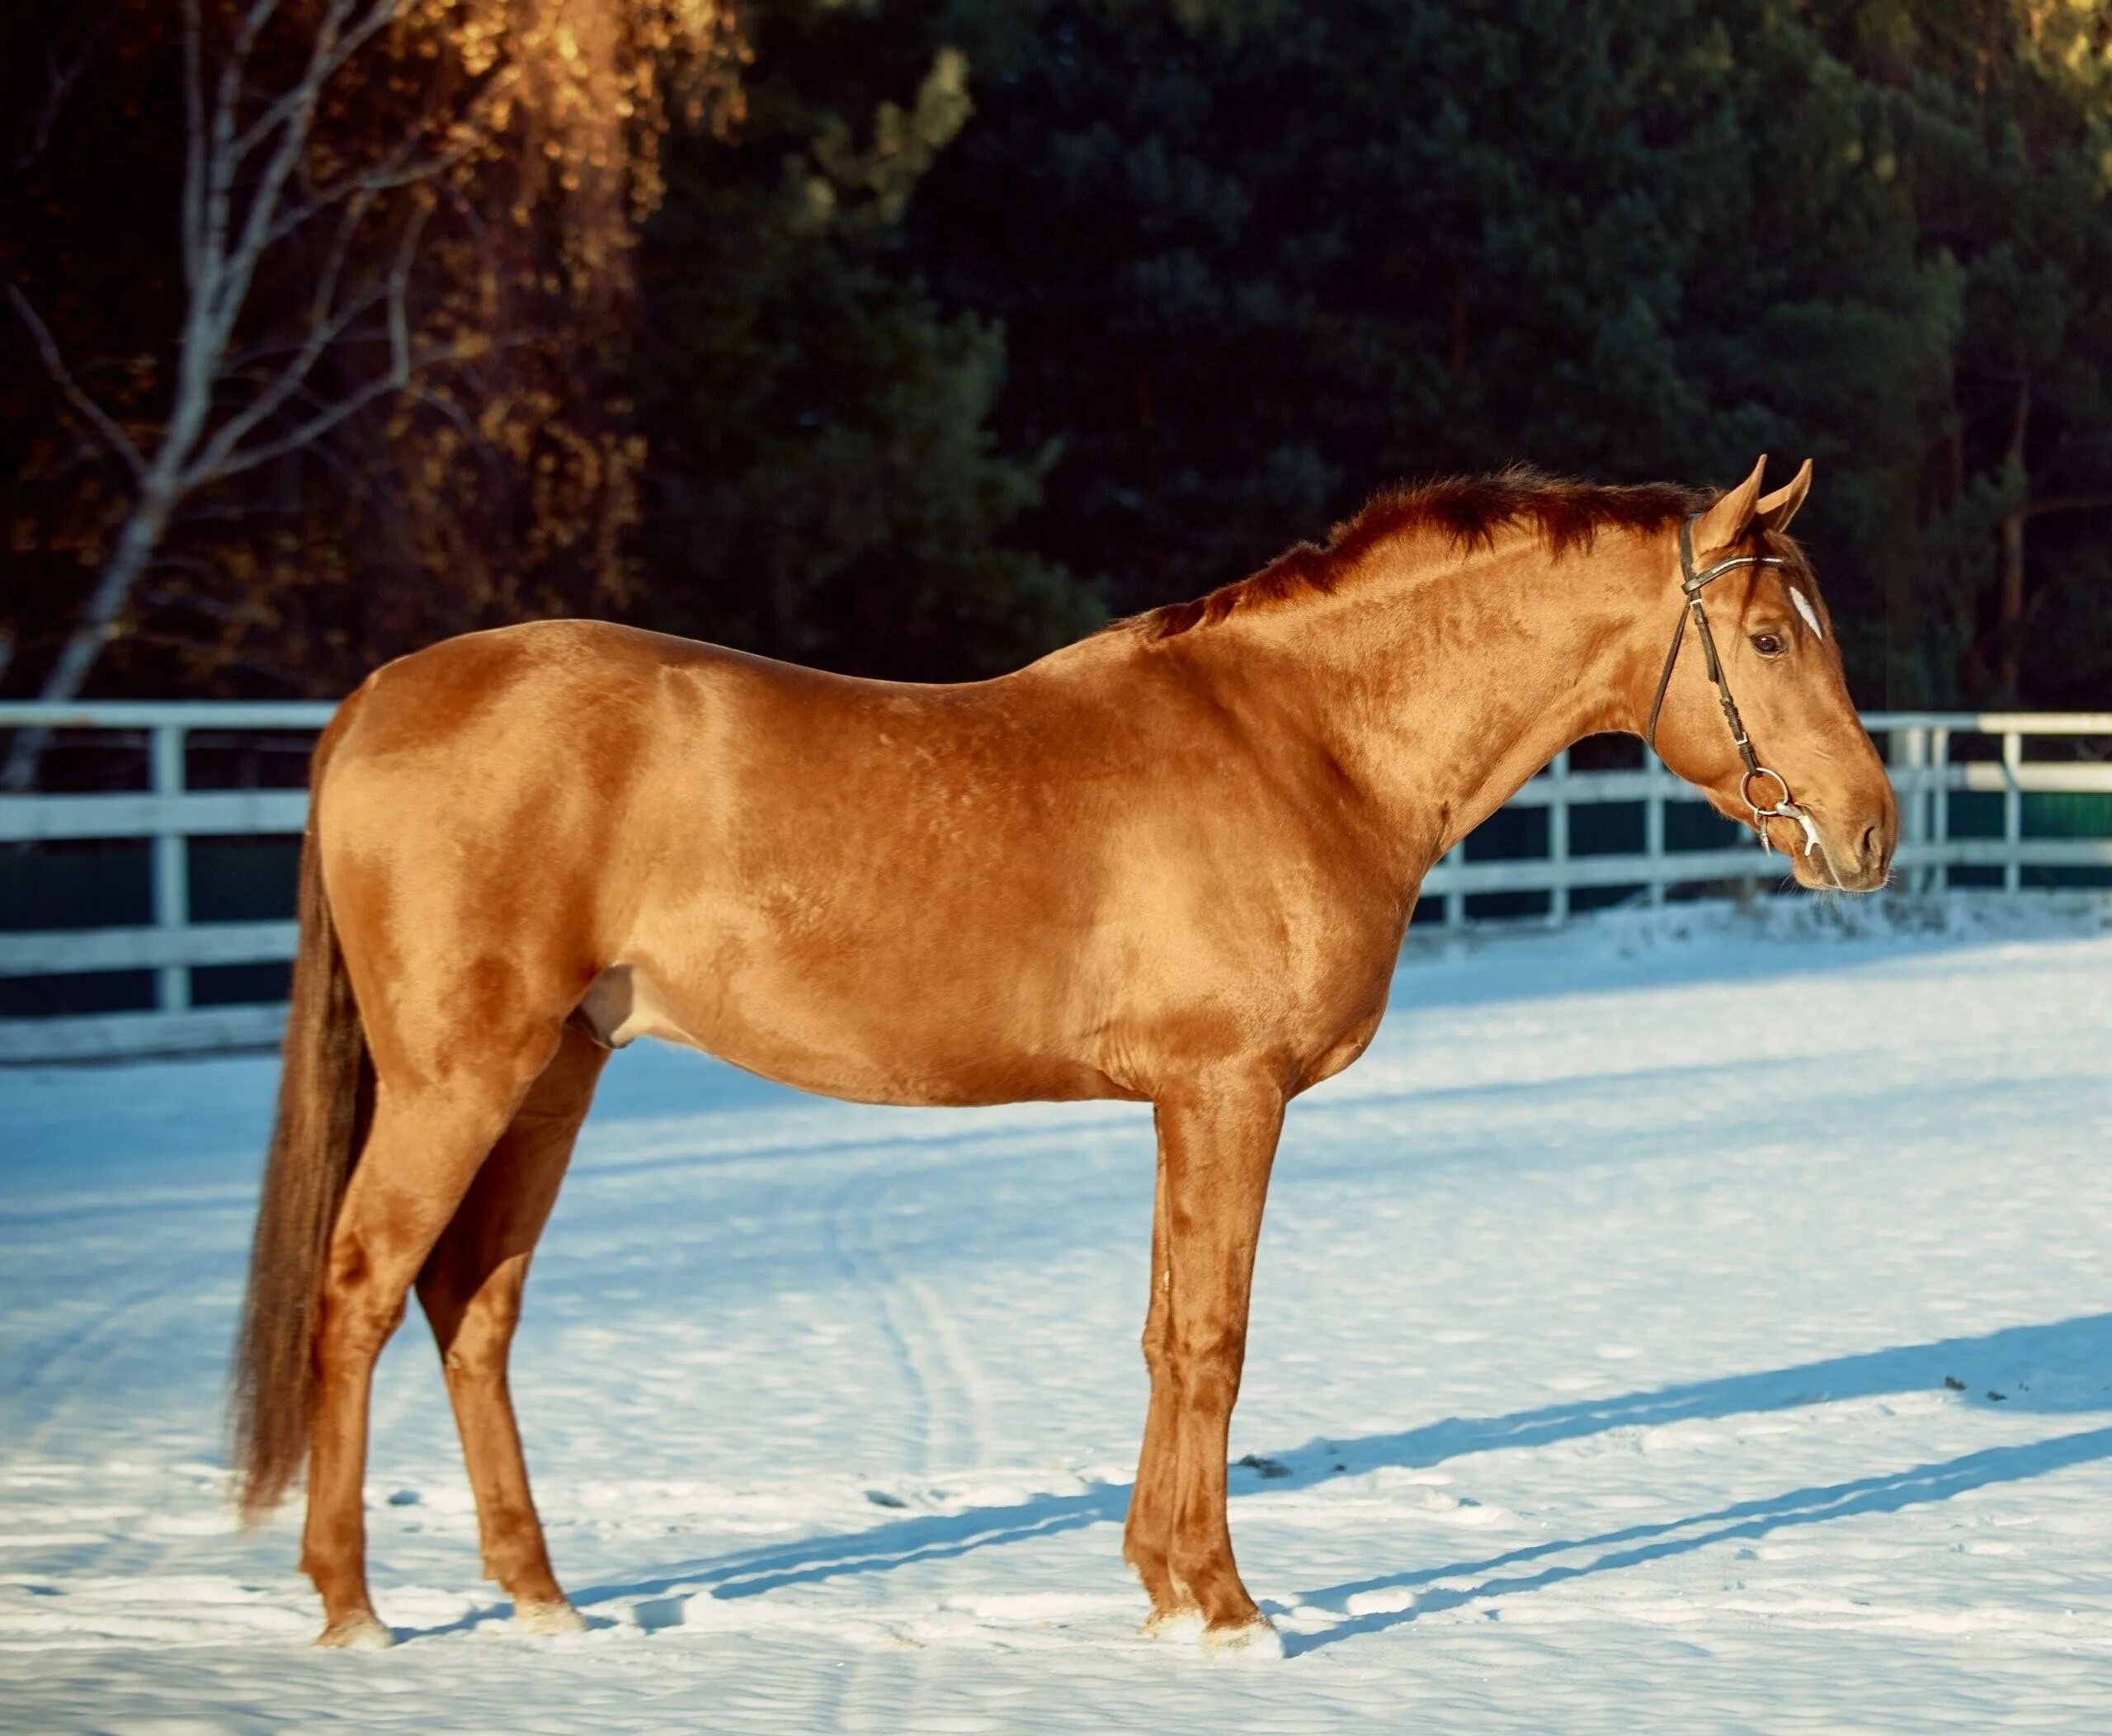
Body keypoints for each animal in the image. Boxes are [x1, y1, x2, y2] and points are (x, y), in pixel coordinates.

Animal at [231, 458, 1901, 1655]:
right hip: (462, 1074)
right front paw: (1227, 1609)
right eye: (1766, 636)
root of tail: (374, 698)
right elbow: (1215, 1341)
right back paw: (352, 1610)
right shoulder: (1228, 1094)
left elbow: (1167, 1336)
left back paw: (539, 1600)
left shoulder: (1181, 1102)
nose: (1872, 833)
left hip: (558, 1072)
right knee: (362, 1286)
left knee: (473, 1309)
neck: (1306, 740)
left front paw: (1162, 1586)